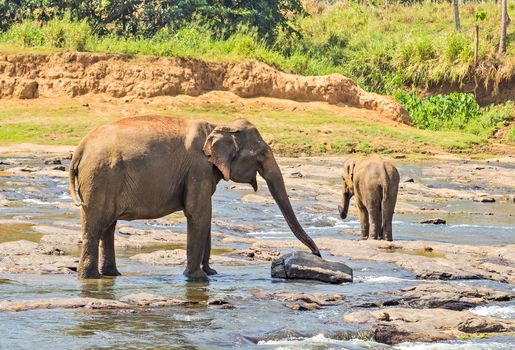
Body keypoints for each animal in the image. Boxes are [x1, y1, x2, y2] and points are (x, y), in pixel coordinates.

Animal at [68, 116, 318, 280]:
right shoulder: (198, 168)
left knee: (108, 225)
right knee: (95, 224)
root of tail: (81, 147)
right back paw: (90, 277)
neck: (217, 125)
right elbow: (198, 213)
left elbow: (205, 215)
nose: (317, 253)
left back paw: (112, 275)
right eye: (262, 154)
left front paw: (211, 272)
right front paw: (198, 278)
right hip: (101, 177)